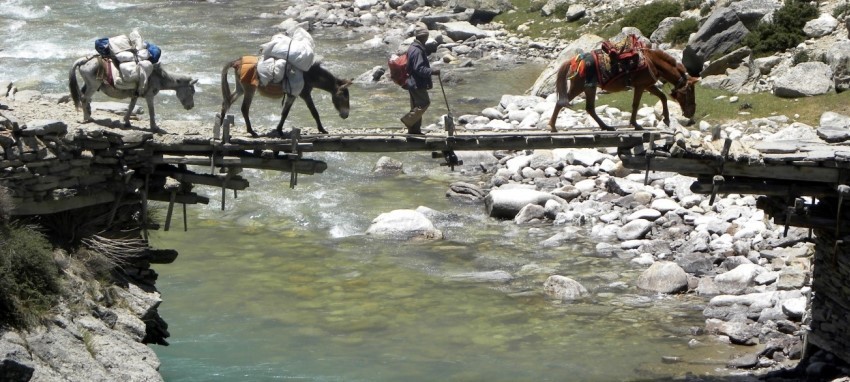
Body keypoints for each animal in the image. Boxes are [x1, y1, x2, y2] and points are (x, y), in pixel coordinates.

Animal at [220, 55, 352, 136]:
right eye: (345, 96)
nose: (346, 115)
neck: (310, 75)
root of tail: (237, 61)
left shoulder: (292, 95)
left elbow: (285, 113)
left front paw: (279, 130)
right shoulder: (305, 94)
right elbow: (314, 112)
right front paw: (322, 130)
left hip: (240, 89)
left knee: (226, 102)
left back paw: (221, 125)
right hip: (249, 89)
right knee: (244, 108)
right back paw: (251, 132)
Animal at [548, 47, 696, 132]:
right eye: (689, 91)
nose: (691, 112)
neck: (652, 62)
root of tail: (575, 61)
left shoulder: (648, 85)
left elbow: (662, 97)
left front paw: (666, 118)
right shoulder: (641, 86)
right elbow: (636, 104)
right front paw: (636, 124)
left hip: (587, 87)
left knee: (588, 108)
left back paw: (606, 127)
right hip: (582, 87)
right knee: (563, 103)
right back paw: (553, 127)